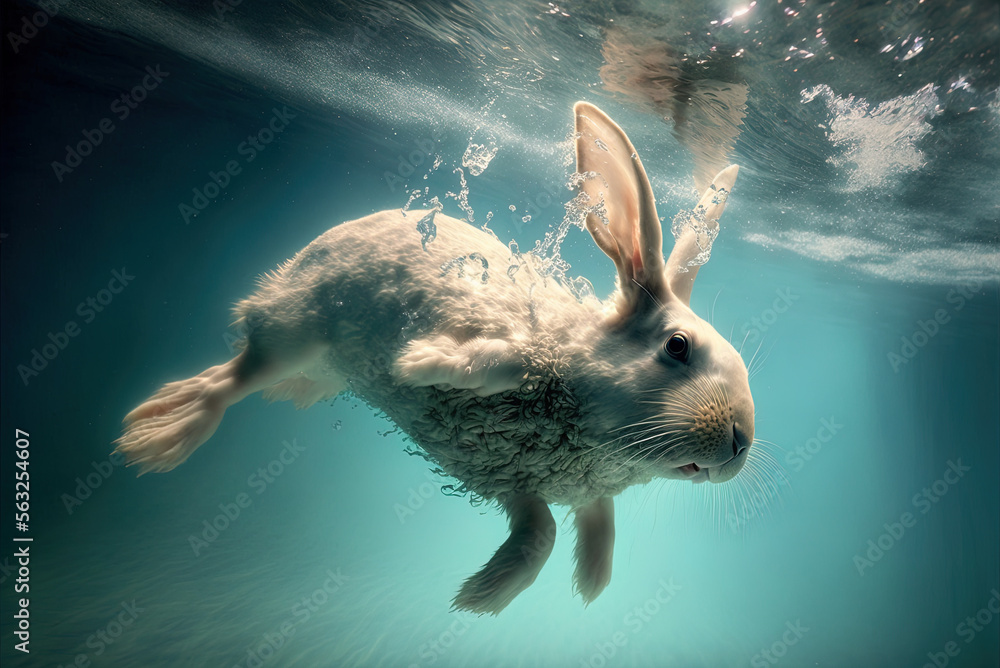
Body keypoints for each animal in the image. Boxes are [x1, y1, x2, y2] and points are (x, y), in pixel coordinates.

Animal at [115, 101, 753, 615]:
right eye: (677, 346)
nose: (740, 443)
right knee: (231, 378)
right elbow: (499, 363)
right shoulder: (514, 348)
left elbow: (551, 533)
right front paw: (417, 364)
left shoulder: (525, 487)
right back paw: (160, 434)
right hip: (296, 328)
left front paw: (550, 586)